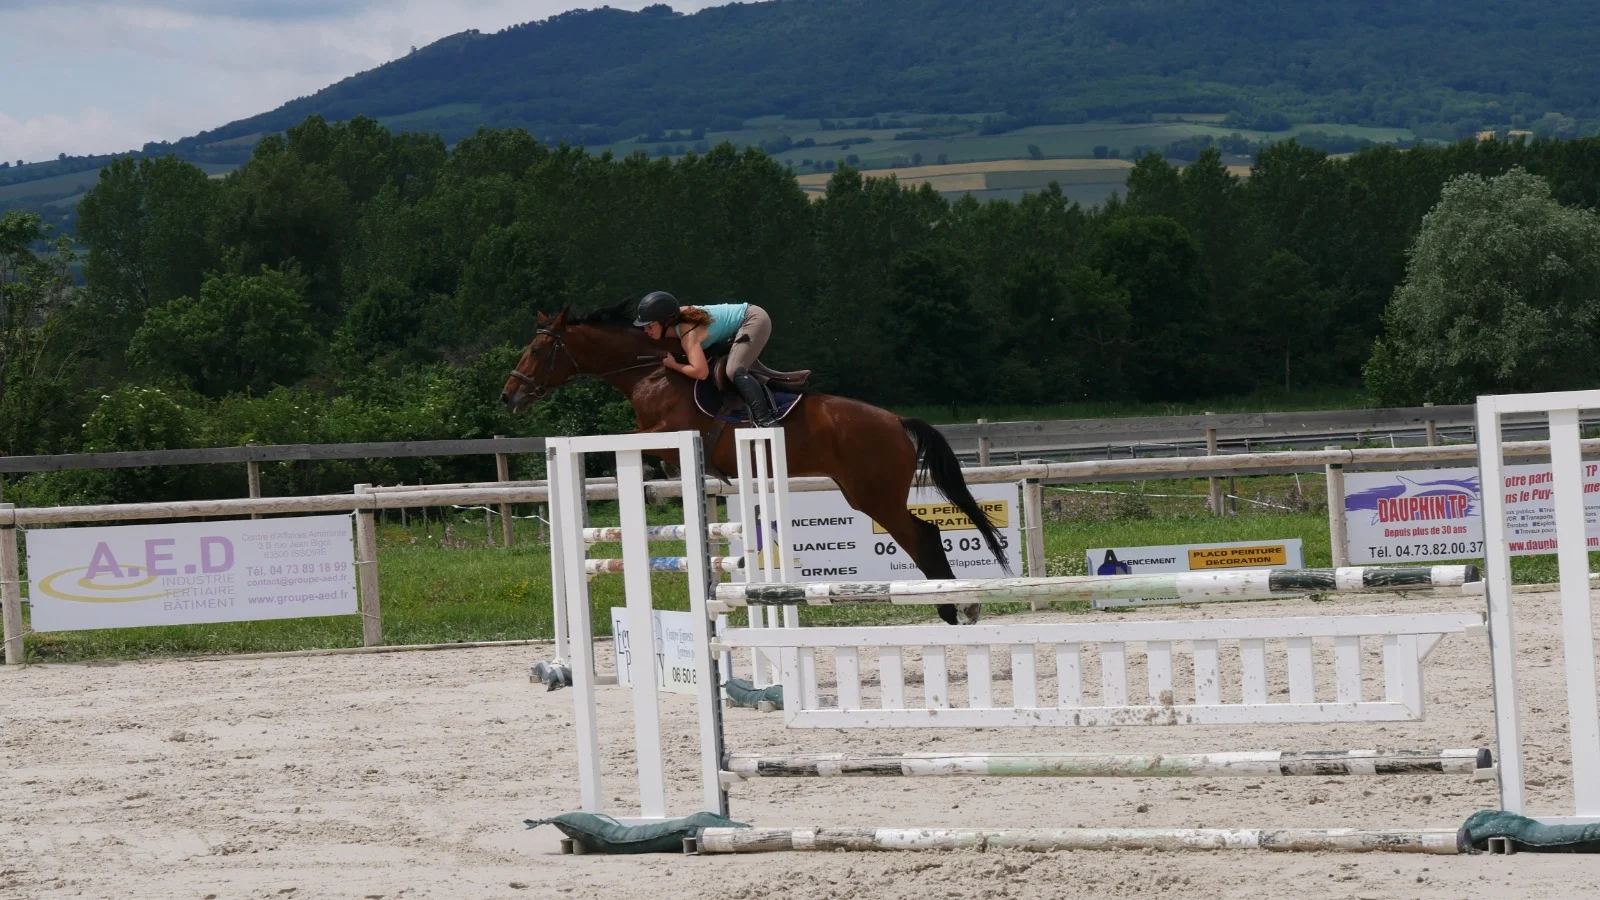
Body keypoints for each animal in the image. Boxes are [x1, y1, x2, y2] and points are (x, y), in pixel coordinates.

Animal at [496, 302, 1011, 624]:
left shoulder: (666, 433)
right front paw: (655, 483)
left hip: (874, 495)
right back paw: (953, 606)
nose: (509, 397)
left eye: (538, 349)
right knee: (921, 536)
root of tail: (896, 421)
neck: (651, 372)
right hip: (863, 493)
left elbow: (617, 445)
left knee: (923, 535)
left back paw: (955, 607)